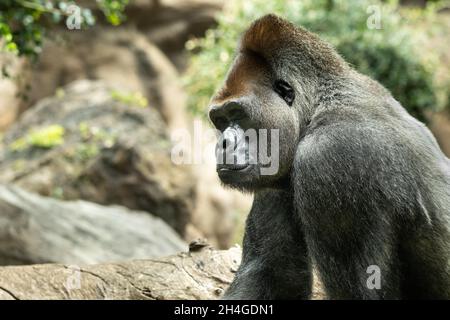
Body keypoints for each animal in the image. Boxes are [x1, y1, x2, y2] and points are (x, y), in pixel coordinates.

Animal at [207, 14, 450, 300]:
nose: (222, 144)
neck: (317, 106)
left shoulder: (330, 159)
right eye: (220, 120)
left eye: (239, 114)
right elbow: (273, 274)